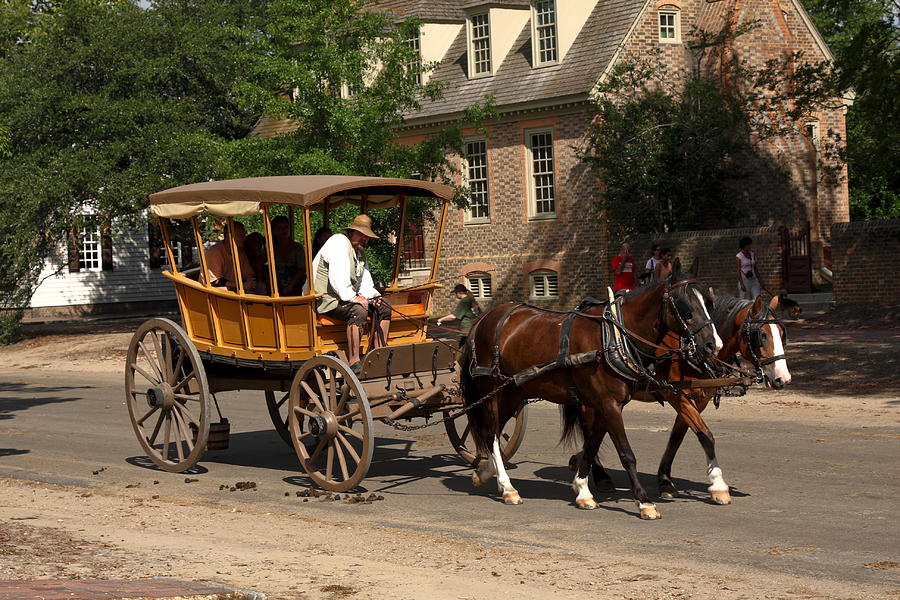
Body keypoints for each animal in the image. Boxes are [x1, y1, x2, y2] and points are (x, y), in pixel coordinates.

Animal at [460, 260, 720, 516]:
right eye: (684, 305)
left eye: (709, 302)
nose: (713, 344)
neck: (614, 337)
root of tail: (483, 320)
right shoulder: (609, 403)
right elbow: (626, 454)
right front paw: (644, 501)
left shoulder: (606, 404)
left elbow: (592, 445)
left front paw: (583, 490)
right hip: (491, 389)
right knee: (491, 432)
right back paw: (507, 487)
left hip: (513, 391)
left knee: (493, 431)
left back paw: (485, 472)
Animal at [572, 292, 792, 504]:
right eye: (761, 335)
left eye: (782, 334)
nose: (783, 378)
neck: (691, 349)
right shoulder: (675, 394)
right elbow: (705, 436)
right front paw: (718, 485)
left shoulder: (698, 399)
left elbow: (678, 436)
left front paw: (665, 480)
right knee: (589, 429)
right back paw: (599, 475)